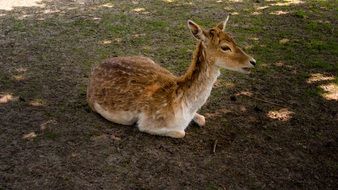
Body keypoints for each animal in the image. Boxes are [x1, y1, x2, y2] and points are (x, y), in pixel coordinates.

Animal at [87, 15, 256, 138]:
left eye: (234, 40)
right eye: (225, 47)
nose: (253, 61)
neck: (185, 105)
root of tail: (97, 66)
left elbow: (202, 119)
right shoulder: (147, 123)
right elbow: (181, 132)